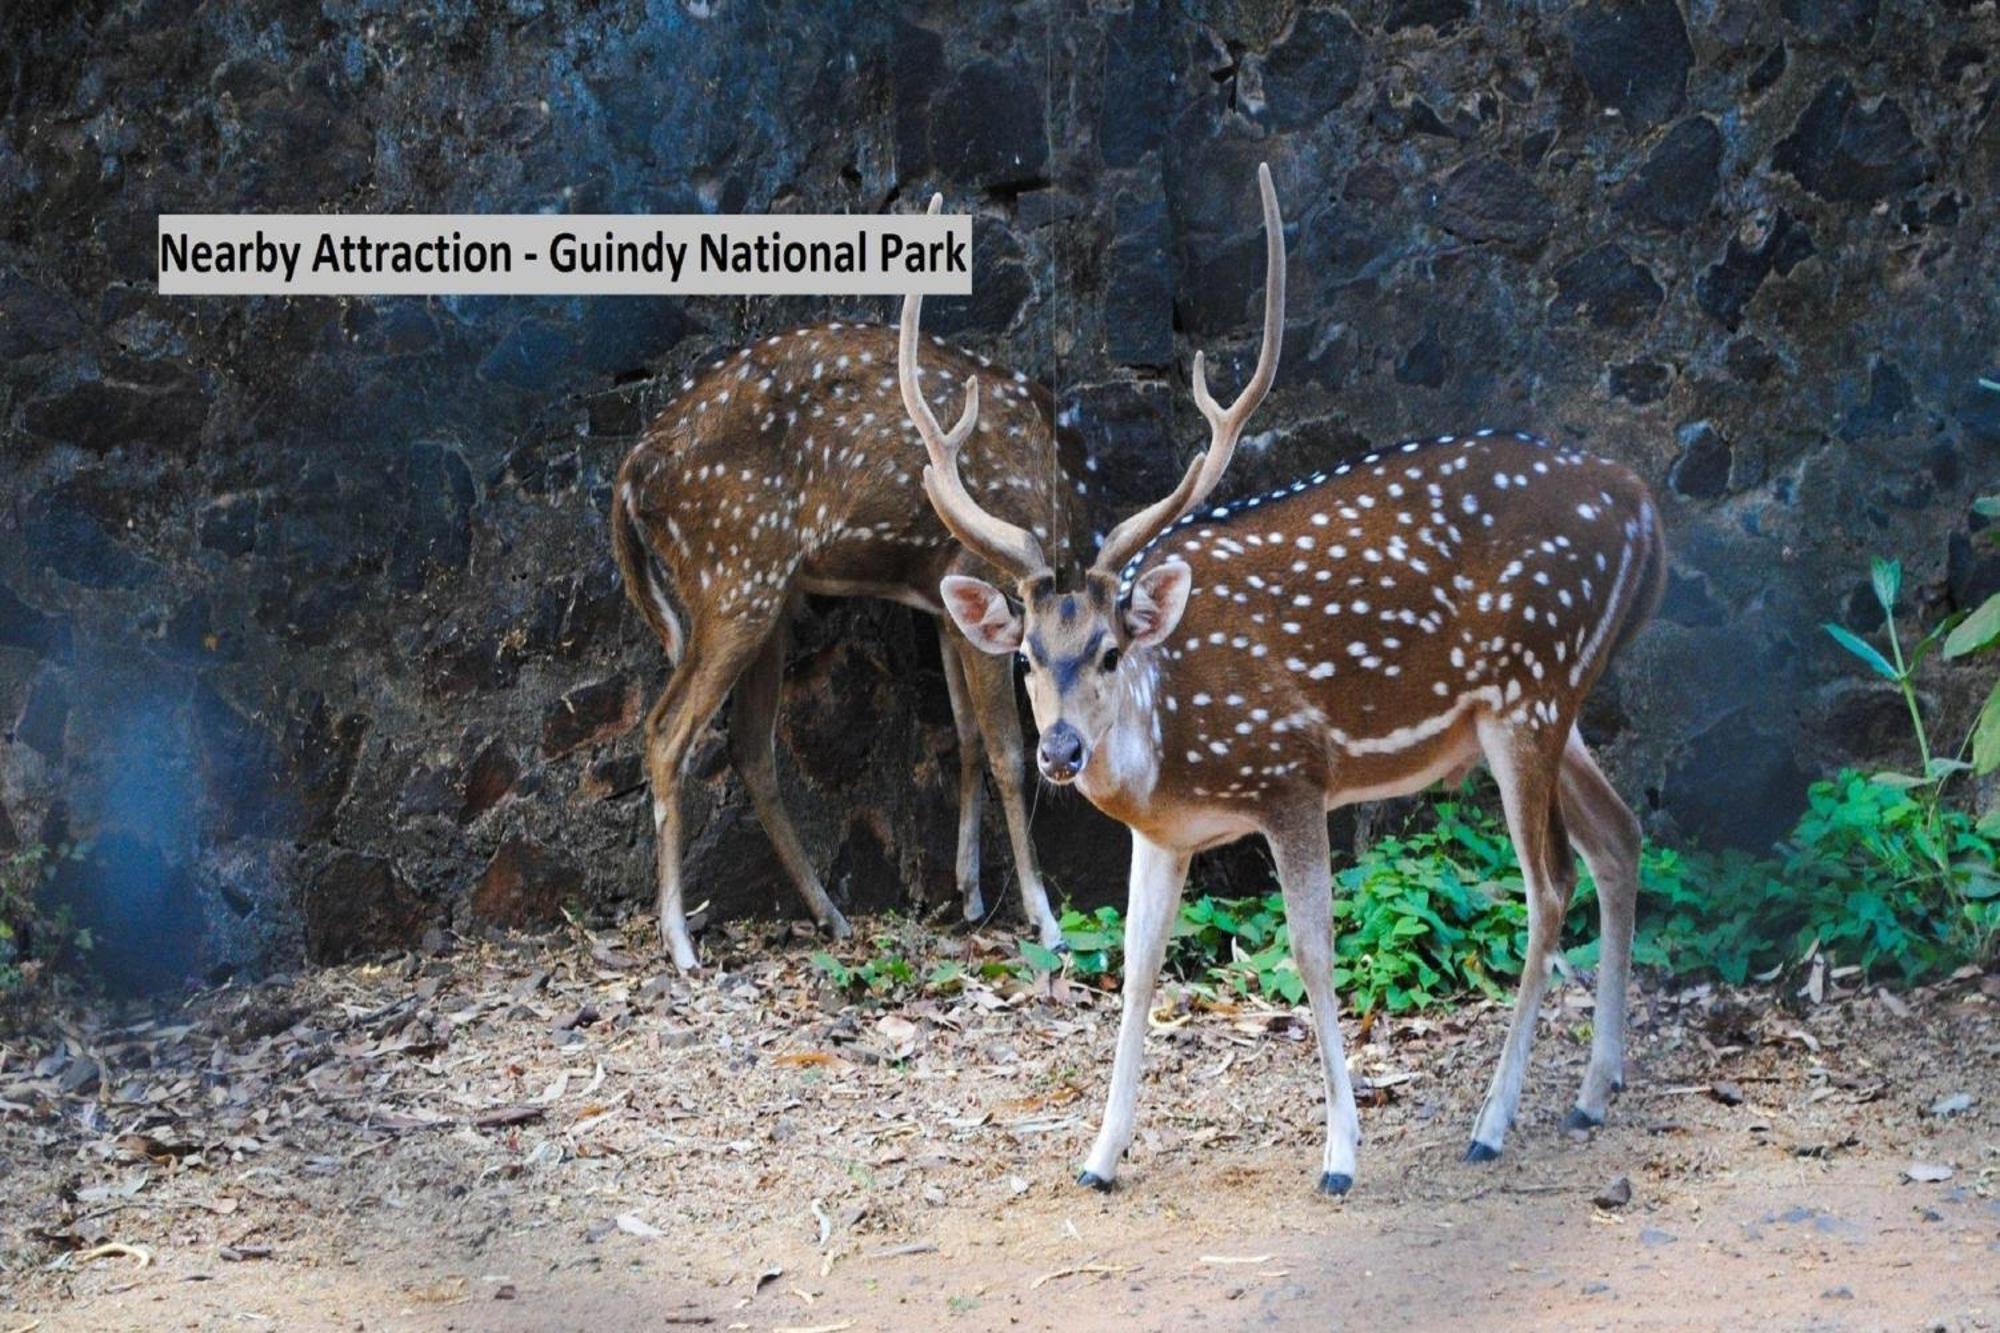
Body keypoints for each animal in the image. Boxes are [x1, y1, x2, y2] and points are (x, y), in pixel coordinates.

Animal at [612, 316, 1088, 972]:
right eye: (1028, 661)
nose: (1069, 756)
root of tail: (634, 470)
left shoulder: (944, 606)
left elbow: (965, 735)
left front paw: (968, 891)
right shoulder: (984, 575)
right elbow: (1006, 752)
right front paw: (1046, 921)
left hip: (767, 597)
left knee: (749, 746)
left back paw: (830, 916)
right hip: (734, 576)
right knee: (666, 731)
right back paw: (681, 944)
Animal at [900, 161, 1664, 1184]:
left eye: (1111, 649)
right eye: (1026, 656)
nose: (1061, 750)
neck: (1172, 746)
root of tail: (1642, 504)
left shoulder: (1293, 775)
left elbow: (1312, 950)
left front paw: (1341, 1149)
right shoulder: (1165, 833)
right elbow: (1138, 964)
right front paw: (1100, 1153)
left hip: (1528, 692)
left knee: (1548, 889)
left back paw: (1494, 1121)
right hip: (1559, 695)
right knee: (1618, 838)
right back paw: (1592, 1090)